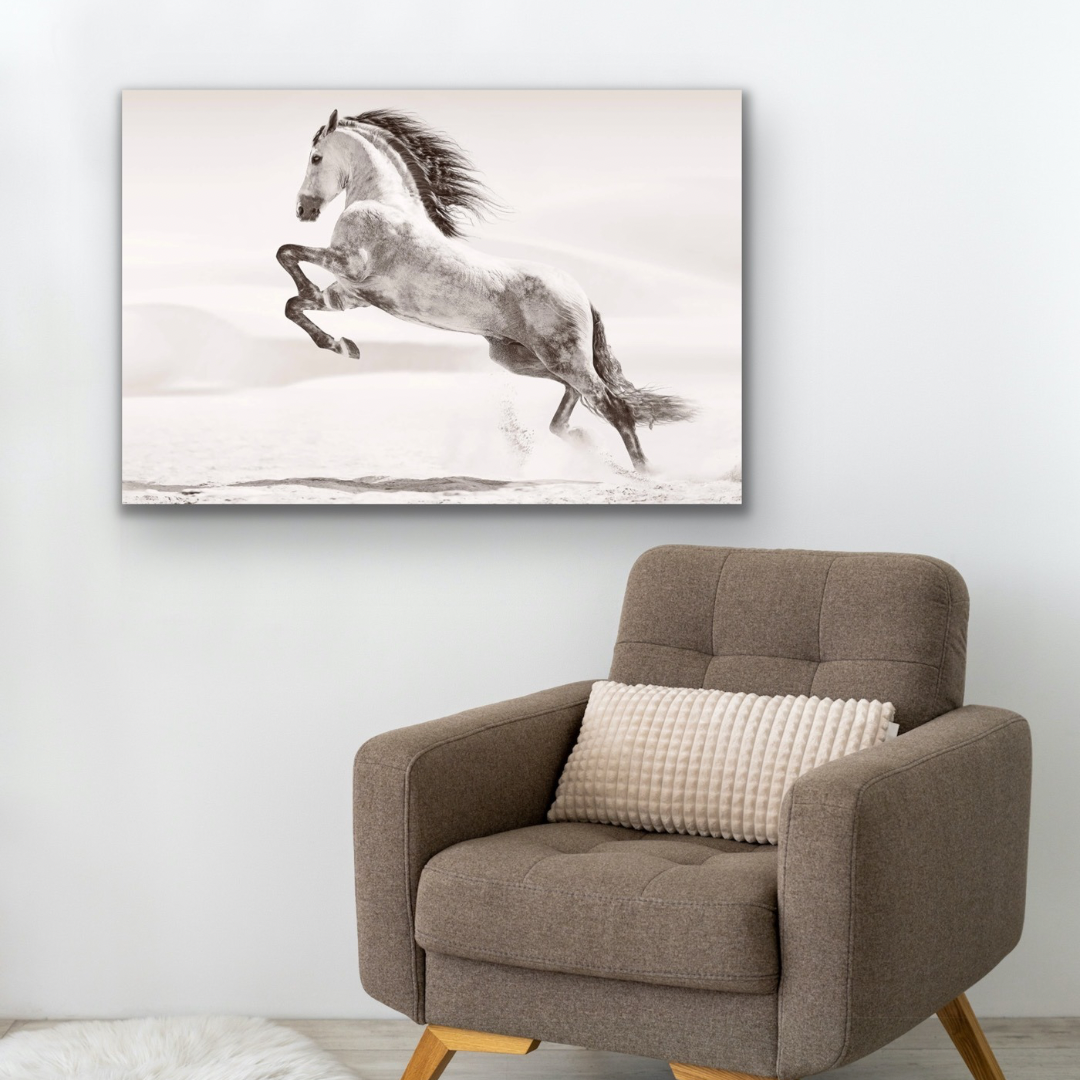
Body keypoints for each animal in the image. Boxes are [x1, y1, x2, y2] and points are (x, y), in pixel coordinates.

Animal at [276, 108, 694, 472]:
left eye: (315, 157)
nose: (302, 210)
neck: (383, 203)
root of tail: (582, 295)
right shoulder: (349, 296)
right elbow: (294, 305)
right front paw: (343, 346)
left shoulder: (350, 264)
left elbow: (286, 253)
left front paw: (335, 333)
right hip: (520, 359)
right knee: (575, 398)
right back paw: (582, 441)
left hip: (562, 358)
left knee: (614, 406)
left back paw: (644, 472)